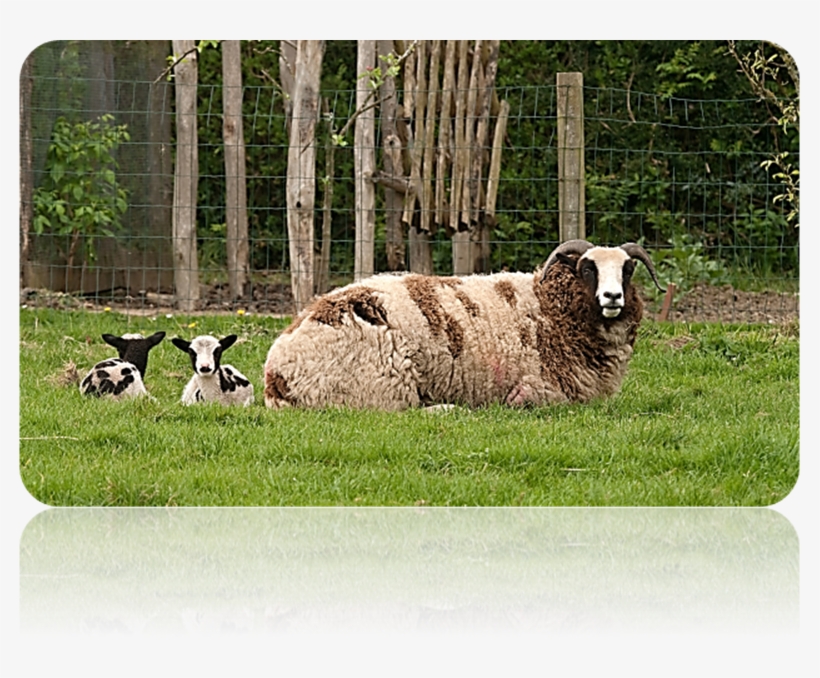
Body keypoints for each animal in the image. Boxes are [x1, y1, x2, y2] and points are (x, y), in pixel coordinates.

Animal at [263, 241, 666, 411]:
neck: (548, 309)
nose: (613, 297)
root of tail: (275, 374)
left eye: (628, 270)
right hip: (381, 386)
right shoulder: (545, 390)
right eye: (587, 269)